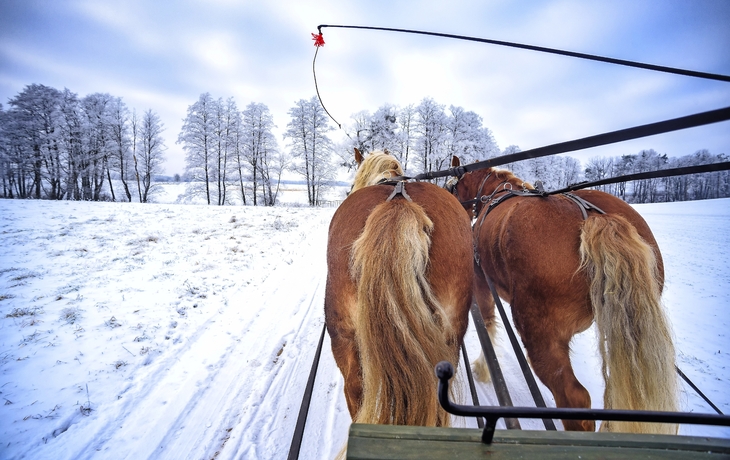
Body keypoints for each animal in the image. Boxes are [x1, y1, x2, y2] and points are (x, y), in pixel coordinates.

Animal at [446, 156, 680, 434]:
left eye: (453, 186)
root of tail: (595, 221)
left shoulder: (482, 280)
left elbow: (488, 326)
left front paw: (482, 369)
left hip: (542, 335)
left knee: (575, 400)